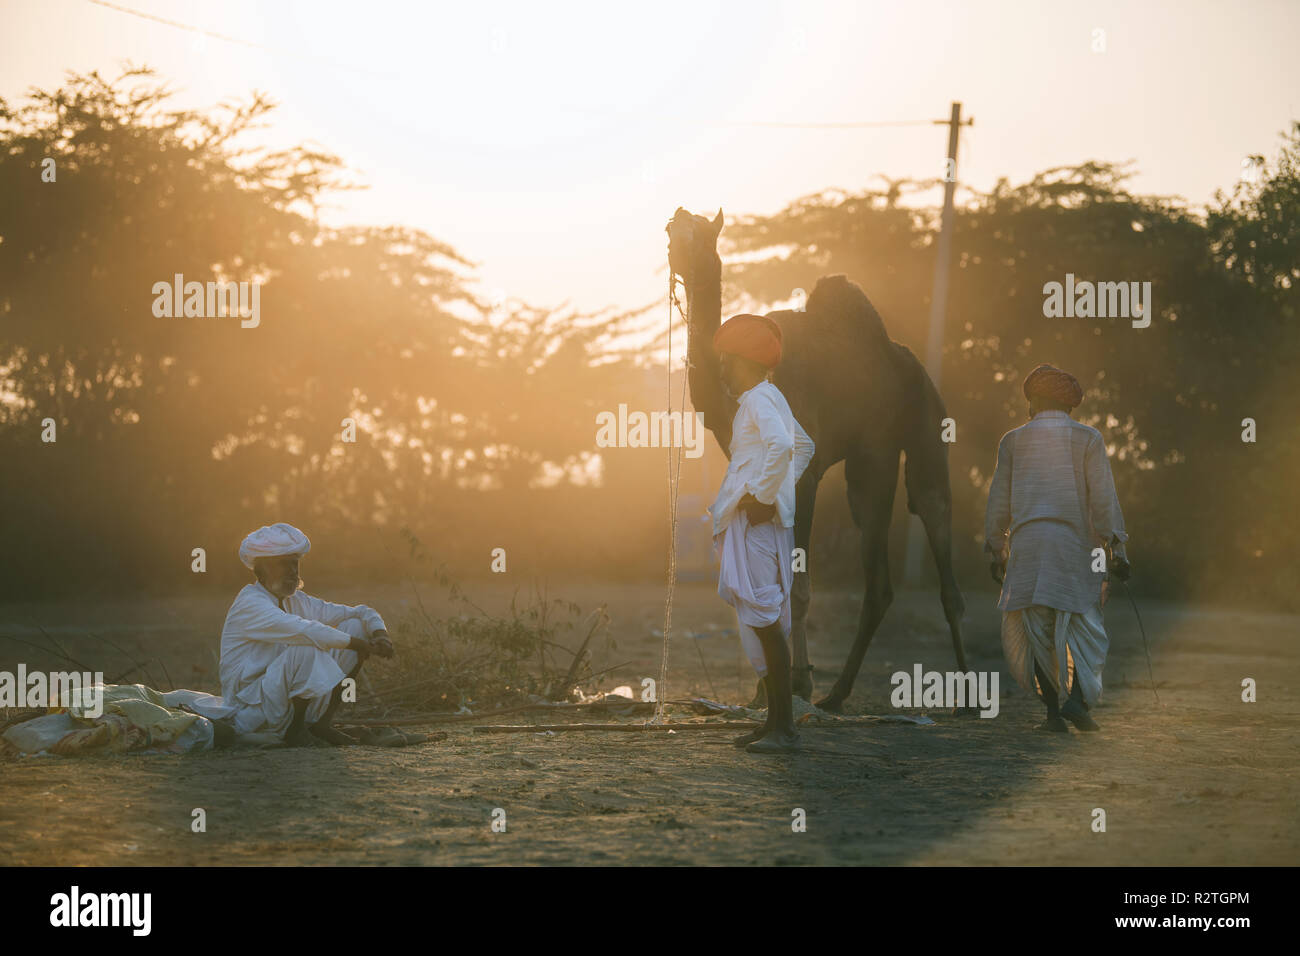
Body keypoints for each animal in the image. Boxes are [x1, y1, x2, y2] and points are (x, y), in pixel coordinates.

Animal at [670, 205, 967, 712]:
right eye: (671, 232)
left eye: (706, 238)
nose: (679, 255)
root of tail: (903, 357)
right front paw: (765, 690)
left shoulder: (801, 471)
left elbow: (799, 585)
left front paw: (797, 684)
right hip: (867, 464)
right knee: (883, 581)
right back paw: (839, 692)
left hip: (911, 435)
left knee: (932, 516)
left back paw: (966, 689)